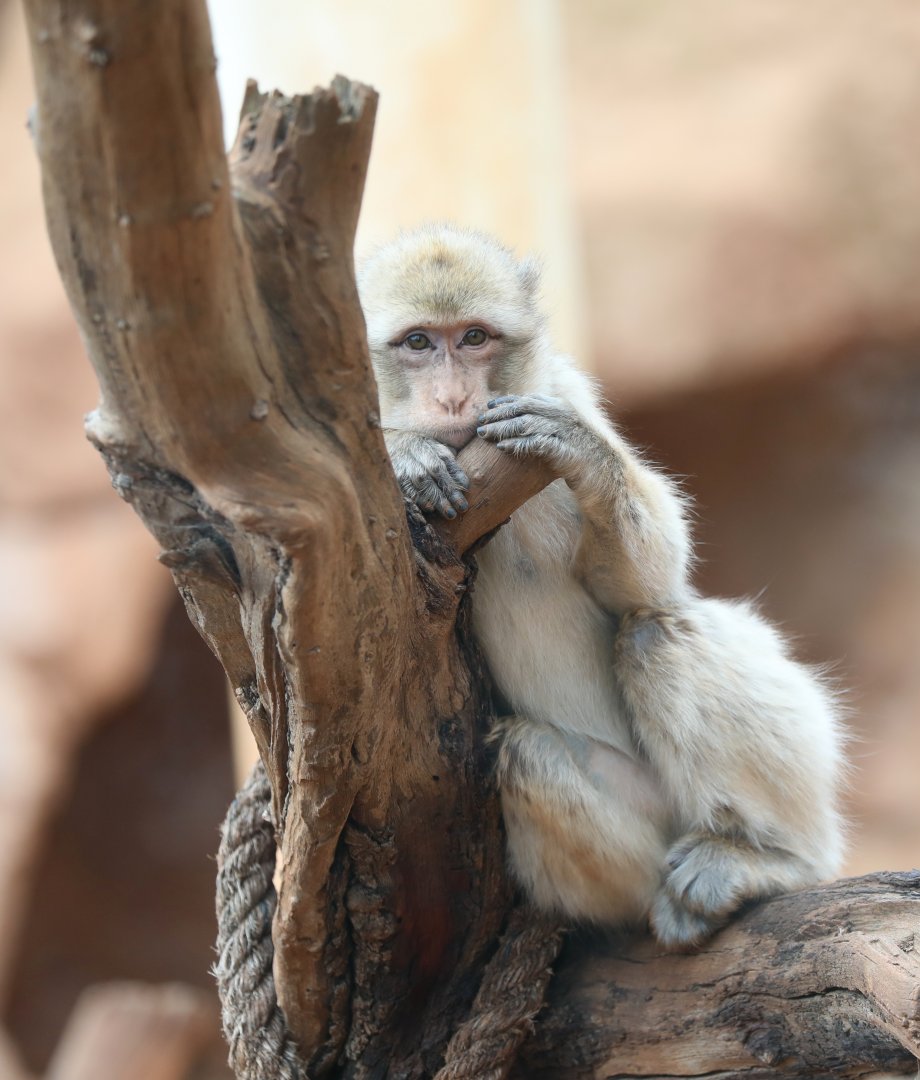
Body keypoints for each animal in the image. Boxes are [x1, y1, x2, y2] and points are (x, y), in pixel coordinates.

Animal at [358, 224, 845, 947]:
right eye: (418, 342)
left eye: (474, 337)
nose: (451, 399)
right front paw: (406, 454)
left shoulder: (559, 392)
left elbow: (645, 584)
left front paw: (583, 456)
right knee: (530, 756)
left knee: (656, 628)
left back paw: (769, 856)